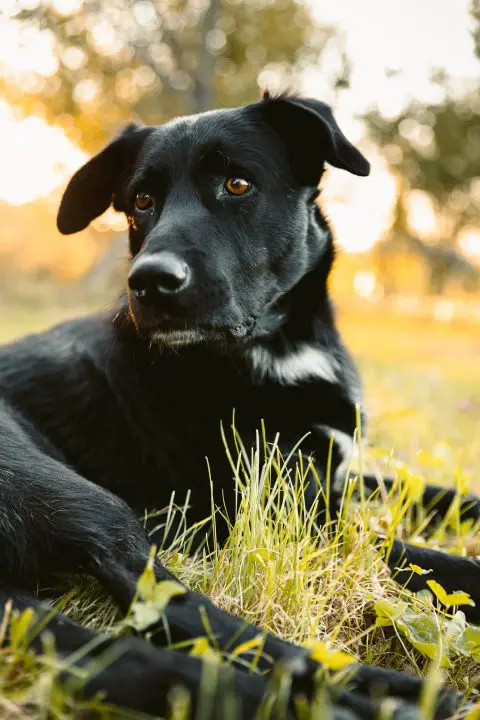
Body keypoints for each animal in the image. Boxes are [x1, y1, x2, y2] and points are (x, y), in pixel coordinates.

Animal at [0, 94, 478, 716]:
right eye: (141, 201)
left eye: (237, 183)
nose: (149, 282)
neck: (277, 350)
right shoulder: (277, 511)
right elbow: (411, 553)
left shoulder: (330, 475)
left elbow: (442, 498)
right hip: (83, 501)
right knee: (183, 611)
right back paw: (379, 695)